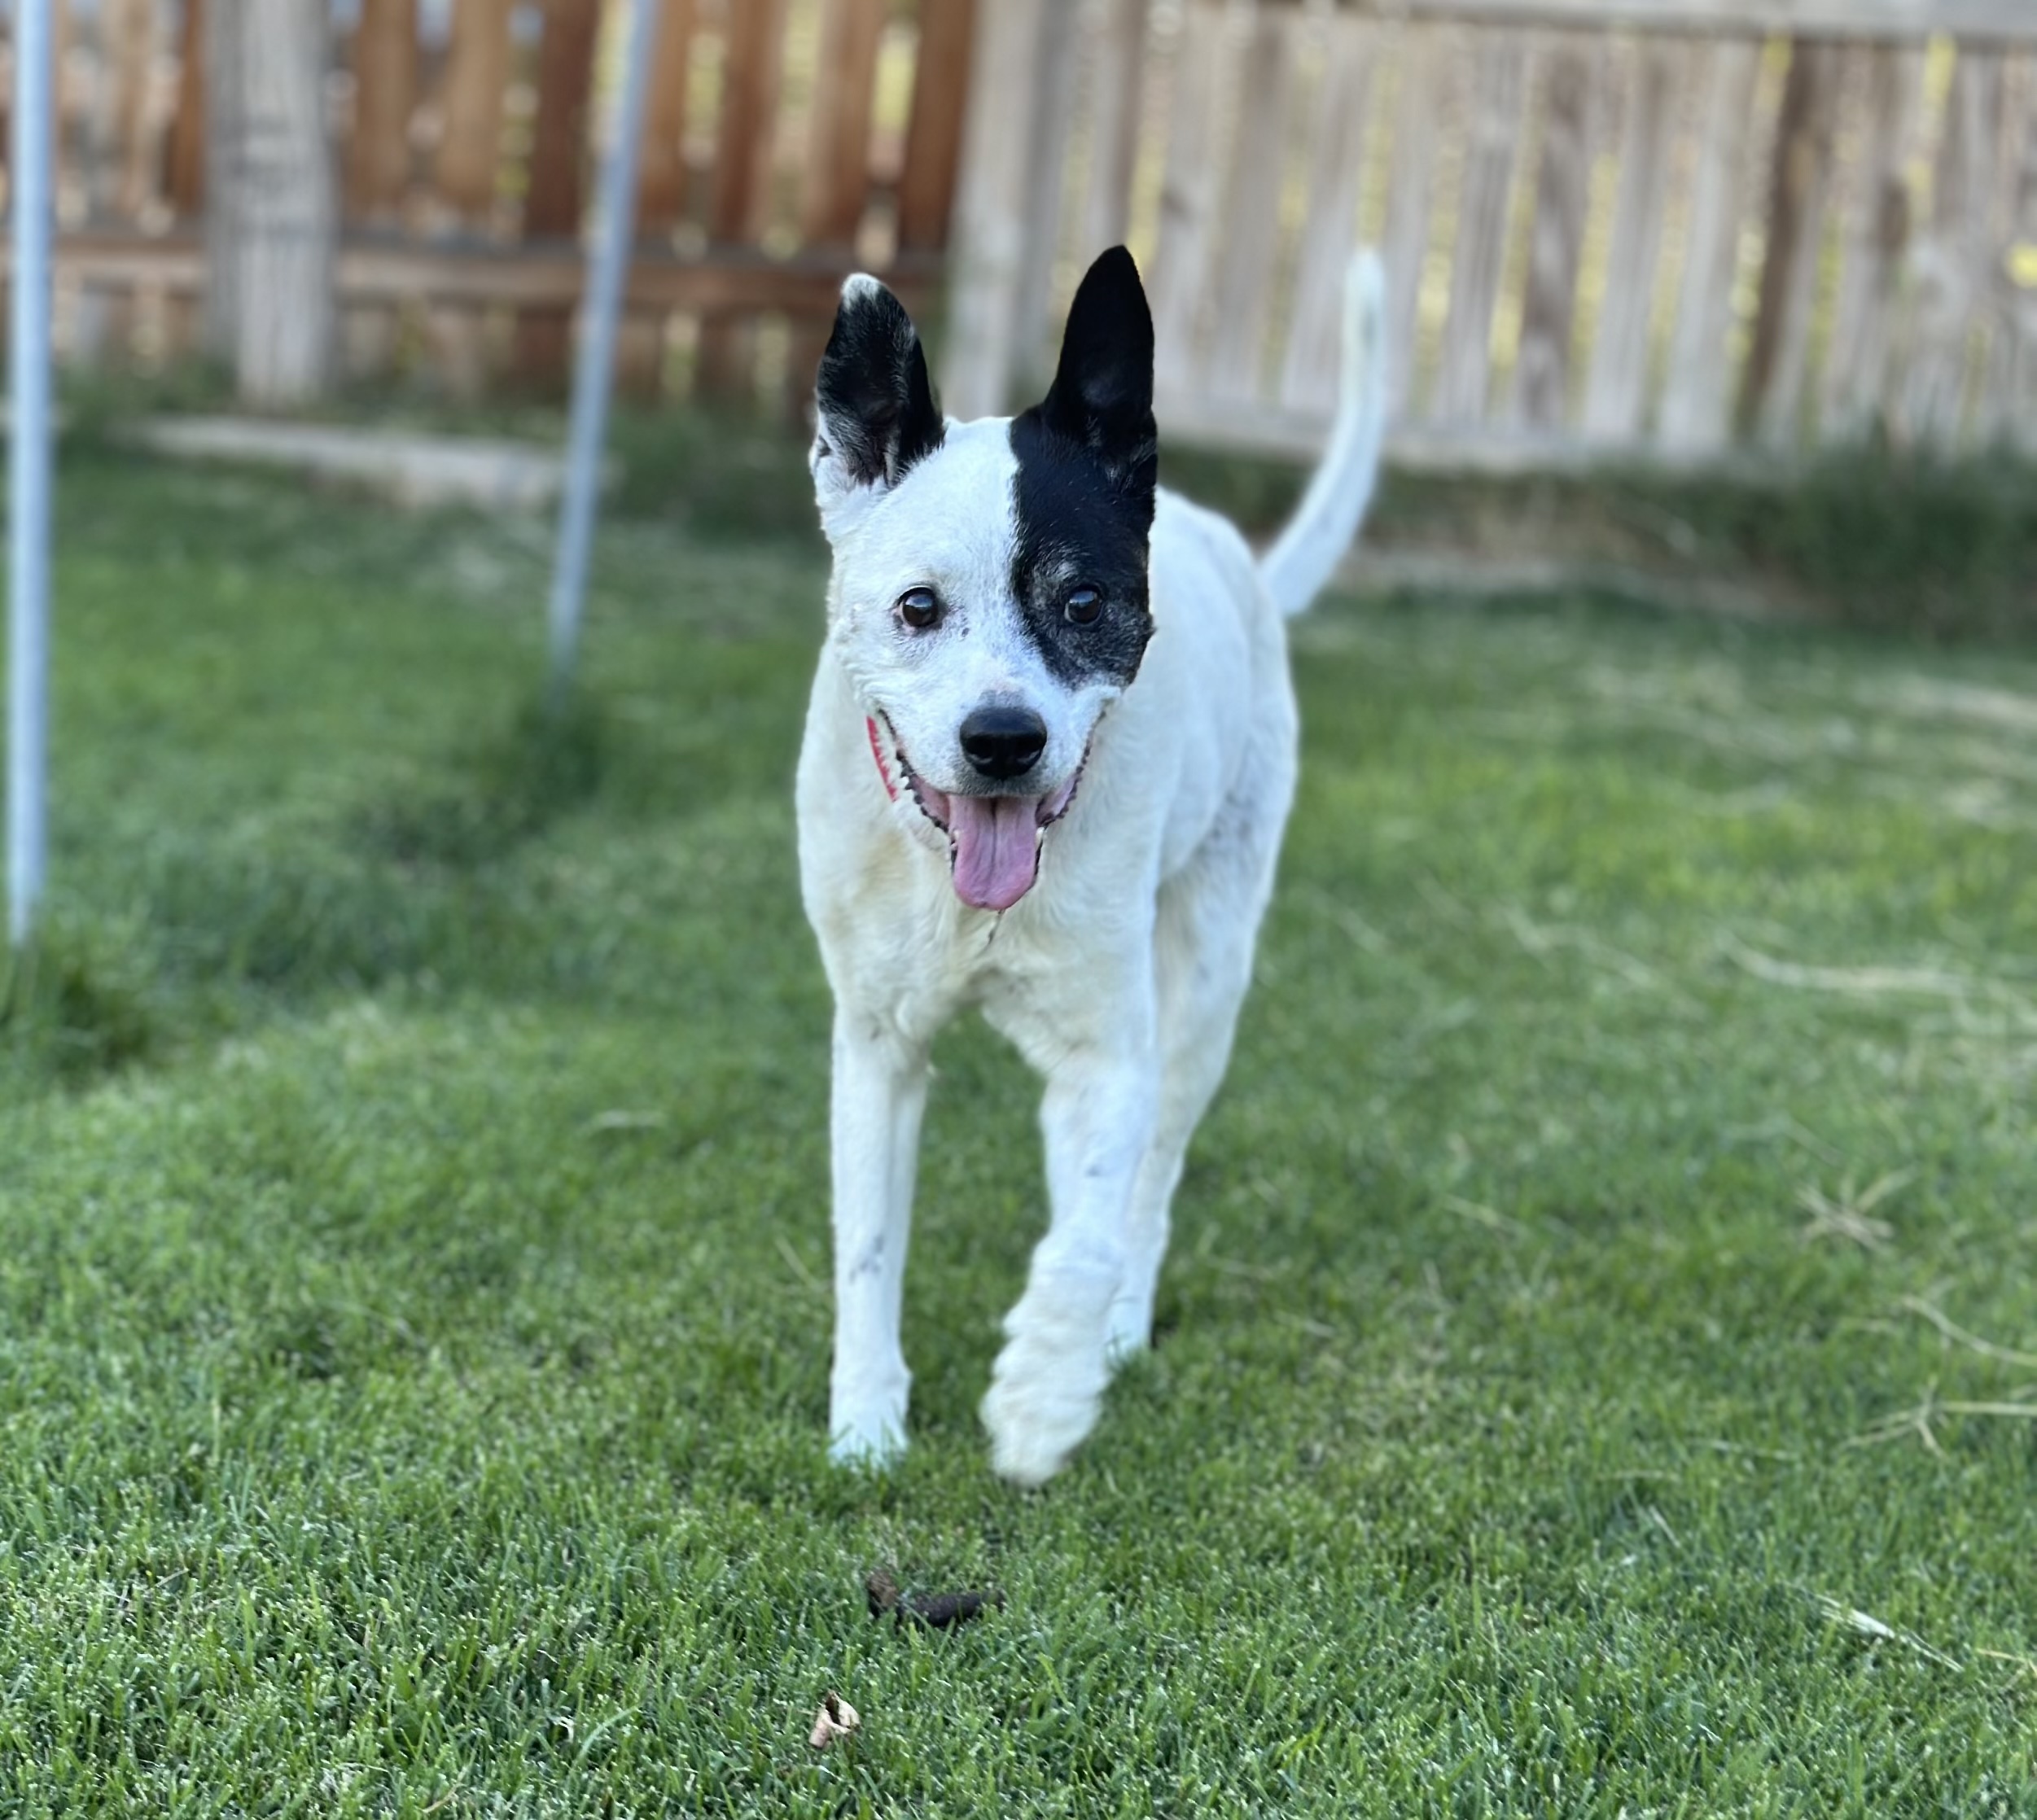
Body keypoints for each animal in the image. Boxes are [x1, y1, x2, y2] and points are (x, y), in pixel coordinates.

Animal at [794, 238, 1385, 1481]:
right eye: (917, 606)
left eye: (1081, 600)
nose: (1003, 740)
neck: (964, 894)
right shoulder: (873, 1047)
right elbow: (867, 1242)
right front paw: (866, 1424)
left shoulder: (1111, 1050)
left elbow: (1091, 1226)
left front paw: (1041, 1397)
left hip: (1205, 980)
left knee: (1142, 1187)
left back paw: (1110, 1327)